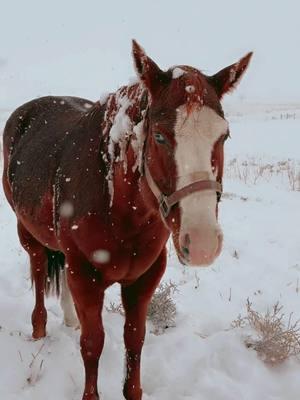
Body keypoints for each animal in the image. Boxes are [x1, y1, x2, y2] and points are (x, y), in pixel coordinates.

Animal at [2, 41, 252, 400]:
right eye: (159, 136)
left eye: (224, 136)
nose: (202, 243)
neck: (120, 210)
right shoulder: (85, 276)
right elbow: (93, 343)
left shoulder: (144, 278)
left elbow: (135, 340)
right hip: (28, 233)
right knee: (38, 270)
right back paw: (38, 330)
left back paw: (68, 318)